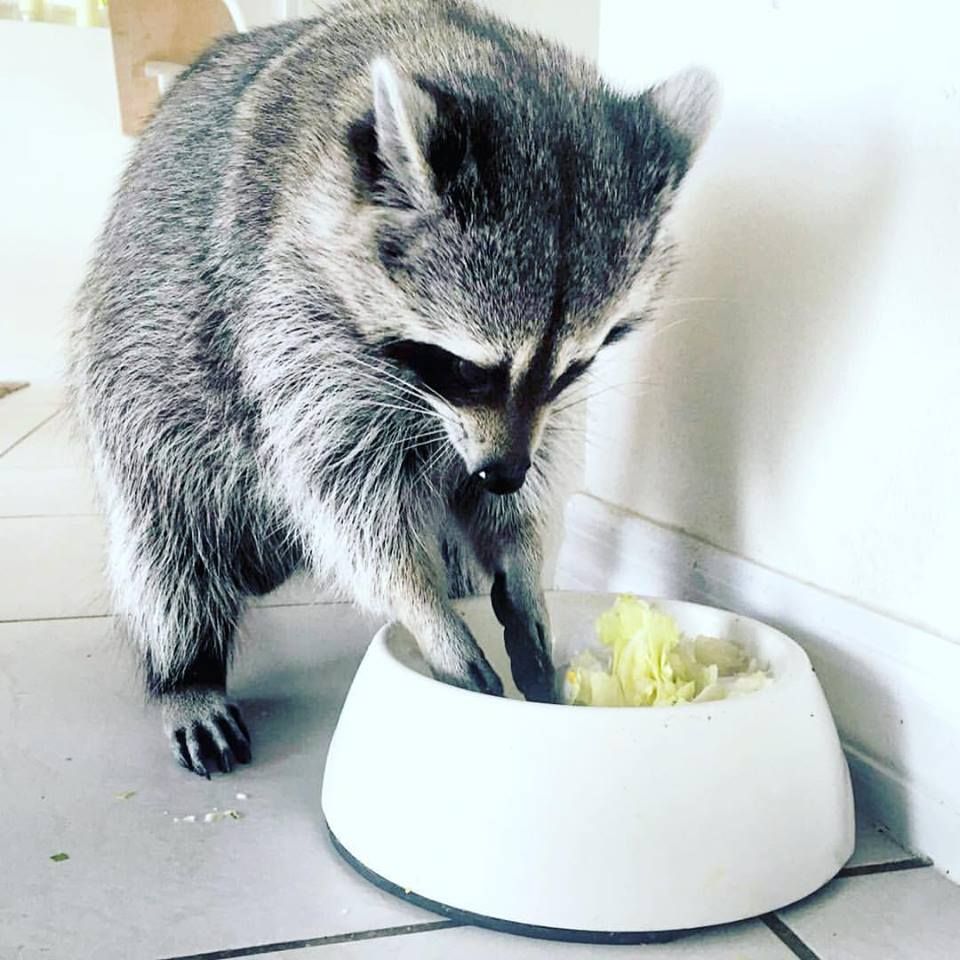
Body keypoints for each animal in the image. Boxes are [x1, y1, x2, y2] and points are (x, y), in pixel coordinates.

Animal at [69, 0, 716, 776]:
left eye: (574, 368)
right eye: (469, 369)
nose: (501, 474)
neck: (464, 48)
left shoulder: (528, 417)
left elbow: (531, 468)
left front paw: (519, 559)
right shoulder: (286, 311)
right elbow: (344, 500)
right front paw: (423, 608)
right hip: (143, 377)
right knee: (166, 538)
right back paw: (185, 670)